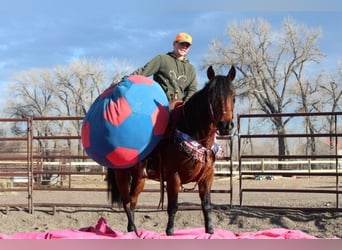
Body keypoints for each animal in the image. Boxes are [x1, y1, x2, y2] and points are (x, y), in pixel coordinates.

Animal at [107, 65, 235, 236]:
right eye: (212, 97)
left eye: (234, 96)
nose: (226, 125)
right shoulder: (174, 176)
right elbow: (173, 207)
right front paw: (169, 231)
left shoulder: (207, 177)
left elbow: (206, 206)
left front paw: (210, 231)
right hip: (121, 174)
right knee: (127, 201)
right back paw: (133, 230)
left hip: (139, 177)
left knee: (133, 201)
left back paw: (132, 231)